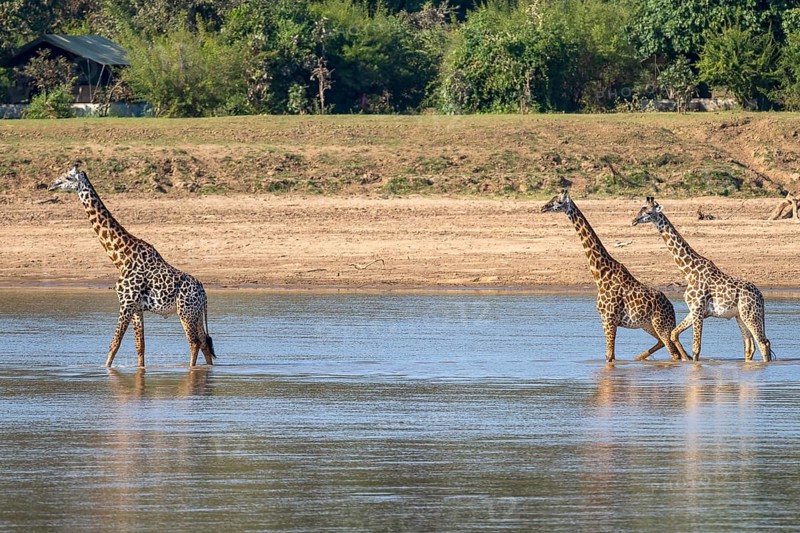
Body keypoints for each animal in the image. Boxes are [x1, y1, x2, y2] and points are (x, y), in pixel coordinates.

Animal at [49, 165, 215, 367]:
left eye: (68, 177)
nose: (52, 185)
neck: (121, 258)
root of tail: (204, 295)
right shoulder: (136, 309)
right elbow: (140, 347)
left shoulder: (125, 303)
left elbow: (115, 343)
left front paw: (106, 368)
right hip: (195, 314)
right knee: (205, 343)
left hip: (185, 312)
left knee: (194, 343)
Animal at [542, 190, 688, 362]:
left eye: (558, 202)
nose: (543, 207)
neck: (600, 274)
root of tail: (671, 307)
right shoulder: (607, 320)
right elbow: (609, 355)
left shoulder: (609, 319)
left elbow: (610, 356)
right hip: (648, 325)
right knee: (667, 345)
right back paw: (638, 358)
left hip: (661, 324)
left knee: (674, 353)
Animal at [632, 197, 773, 362]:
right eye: (640, 209)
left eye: (648, 212)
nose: (634, 221)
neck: (689, 271)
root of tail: (761, 297)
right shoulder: (694, 310)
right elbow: (674, 334)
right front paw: (684, 360)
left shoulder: (698, 309)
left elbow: (696, 348)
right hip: (740, 315)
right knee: (750, 346)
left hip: (750, 315)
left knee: (763, 343)